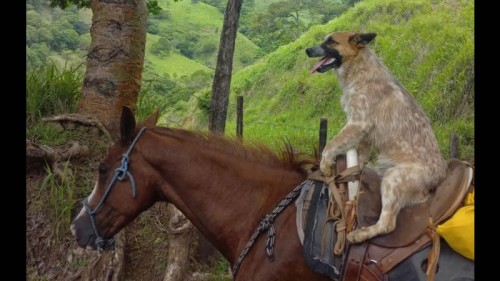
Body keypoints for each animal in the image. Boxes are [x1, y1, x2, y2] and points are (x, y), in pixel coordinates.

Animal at [306, 31, 448, 243]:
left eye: (331, 41)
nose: (307, 50)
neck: (359, 69)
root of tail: (439, 176)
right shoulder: (364, 135)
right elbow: (359, 160)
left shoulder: (358, 123)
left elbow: (331, 144)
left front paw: (325, 164)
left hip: (392, 179)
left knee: (387, 224)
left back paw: (359, 234)